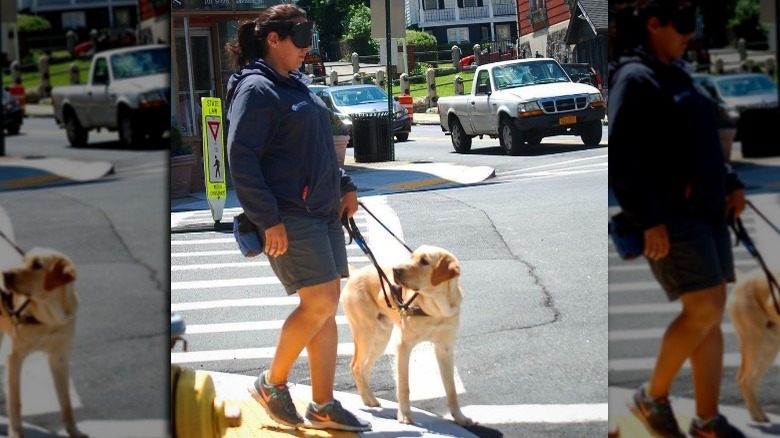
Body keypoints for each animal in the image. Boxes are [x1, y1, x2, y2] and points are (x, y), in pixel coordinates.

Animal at [0, 248, 86, 436]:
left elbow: (66, 401)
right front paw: (15, 431)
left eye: (37, 265)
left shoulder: (59, 358)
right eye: (23, 260)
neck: (50, 318)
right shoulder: (14, 356)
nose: (5, 273)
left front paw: (74, 431)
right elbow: (15, 401)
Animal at [338, 245, 472, 426]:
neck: (437, 309)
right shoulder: (403, 346)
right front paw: (404, 415)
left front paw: (459, 417)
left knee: (363, 367)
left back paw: (369, 397)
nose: (395, 269)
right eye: (411, 257)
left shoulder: (445, 348)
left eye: (424, 261)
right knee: (355, 365)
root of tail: (356, 273)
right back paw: (368, 399)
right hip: (365, 331)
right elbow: (403, 386)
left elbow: (451, 389)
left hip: (380, 338)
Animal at [724, 268, 780, 422]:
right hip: (754, 341)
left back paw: (758, 413)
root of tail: (743, 277)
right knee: (743, 379)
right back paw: (756, 415)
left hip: (769, 350)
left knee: (752, 382)